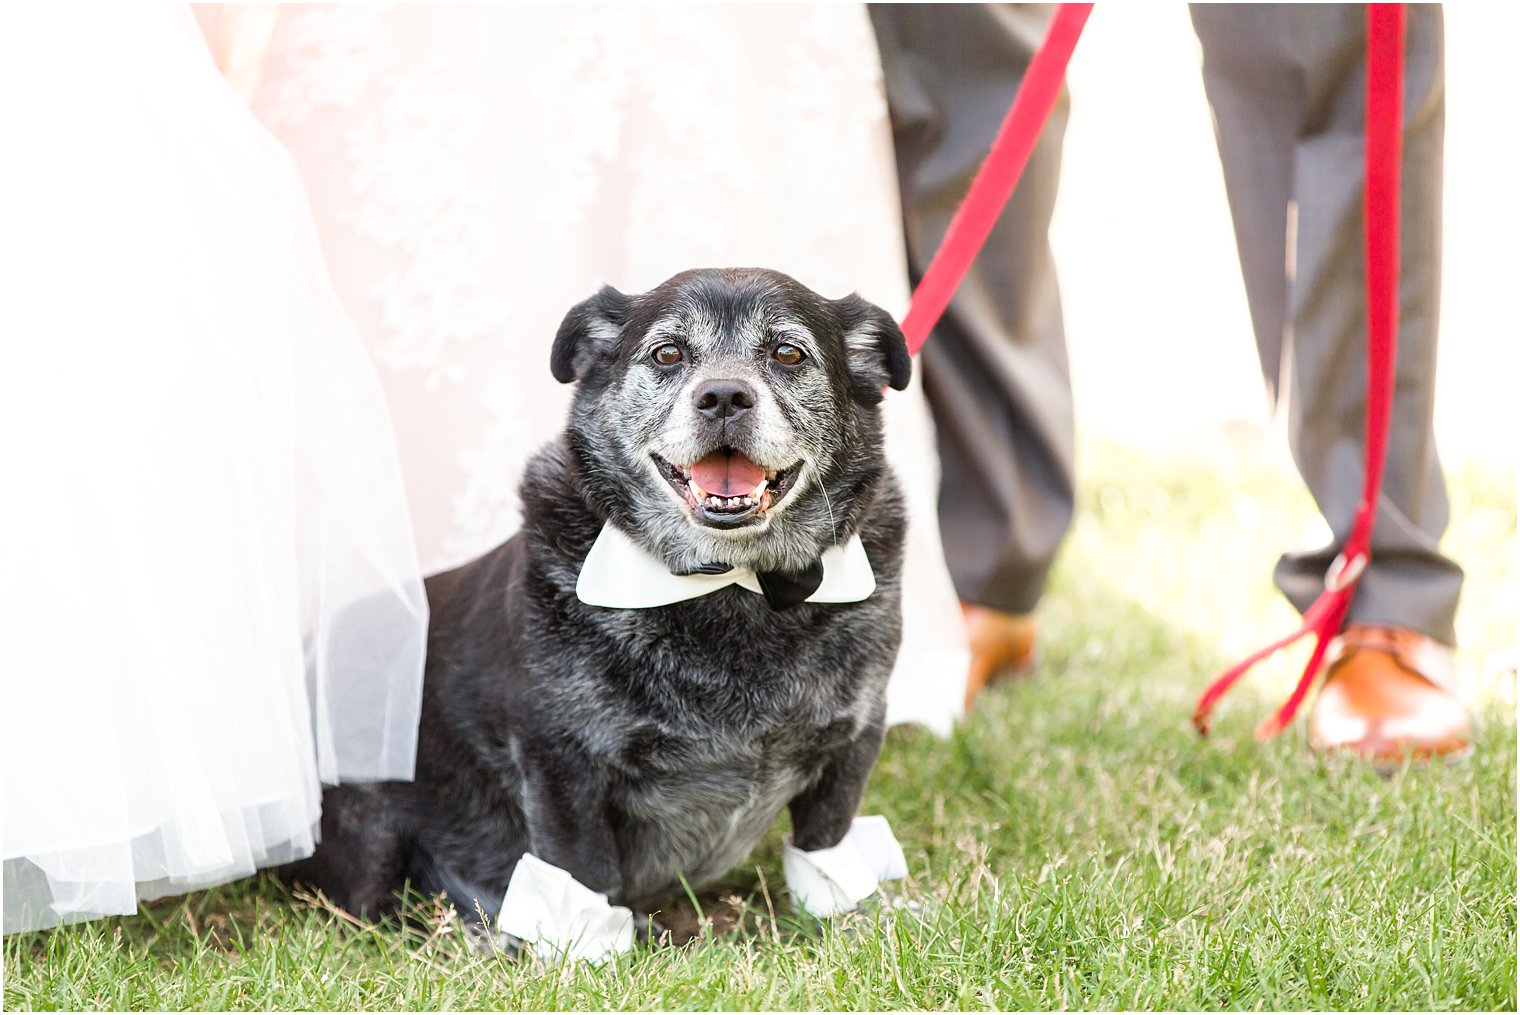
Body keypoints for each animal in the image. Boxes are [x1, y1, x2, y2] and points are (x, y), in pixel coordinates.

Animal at [287, 268, 912, 929]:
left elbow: (826, 844)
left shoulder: (853, 740)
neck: (732, 580)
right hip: (370, 822)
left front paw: (846, 919)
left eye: (788, 353)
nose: (723, 397)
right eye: (668, 354)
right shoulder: (563, 762)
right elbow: (581, 875)